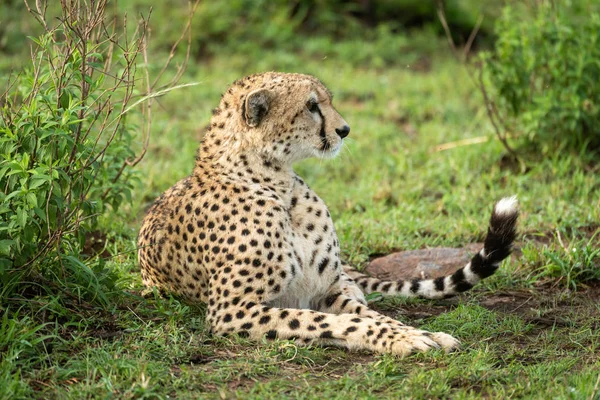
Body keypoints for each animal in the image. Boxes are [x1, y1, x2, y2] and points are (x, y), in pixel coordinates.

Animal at [138, 72, 516, 356]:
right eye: (311, 106)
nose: (345, 130)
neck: (278, 185)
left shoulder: (333, 288)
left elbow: (368, 313)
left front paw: (418, 333)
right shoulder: (232, 310)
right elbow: (329, 321)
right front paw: (406, 339)